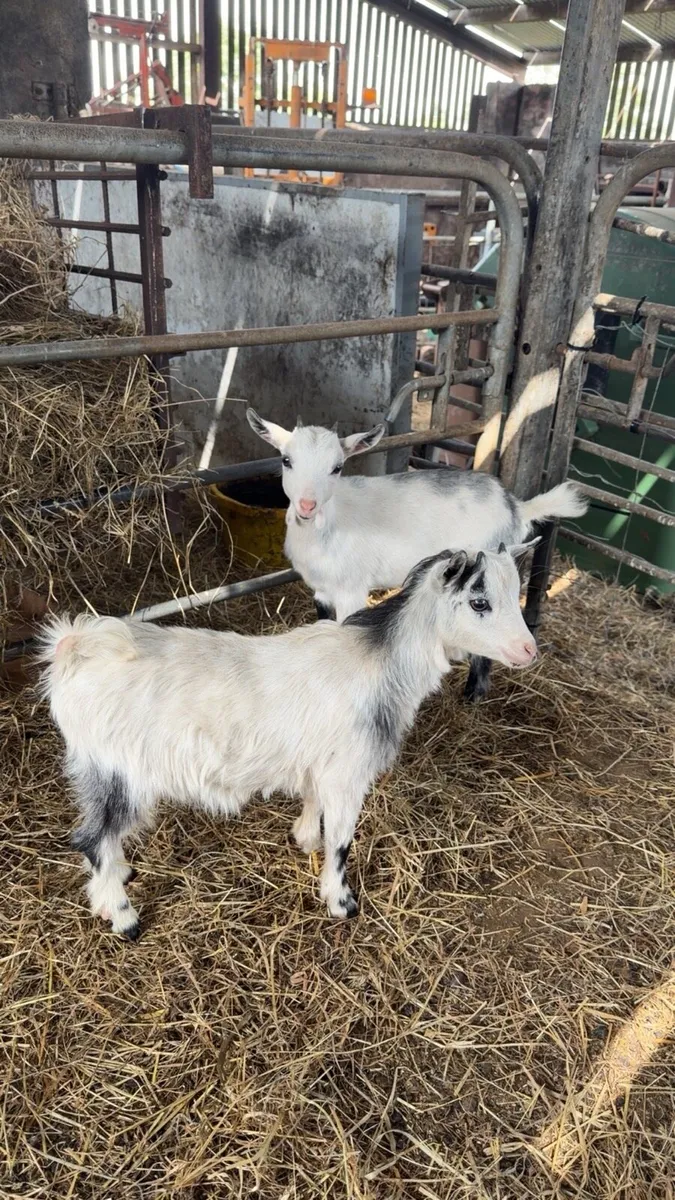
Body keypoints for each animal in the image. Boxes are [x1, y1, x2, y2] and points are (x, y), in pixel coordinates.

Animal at [40, 543, 538, 939]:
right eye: (479, 602)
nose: (529, 650)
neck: (381, 663)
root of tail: (74, 648)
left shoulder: (323, 764)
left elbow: (313, 804)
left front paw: (304, 840)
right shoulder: (347, 772)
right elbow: (342, 840)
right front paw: (341, 902)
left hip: (96, 771)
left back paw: (116, 881)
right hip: (120, 771)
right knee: (92, 839)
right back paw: (124, 918)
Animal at [246, 409, 588, 700]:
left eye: (337, 467)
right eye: (286, 459)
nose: (307, 505)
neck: (326, 527)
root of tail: (517, 506)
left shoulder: (351, 589)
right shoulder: (321, 589)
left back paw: (474, 693)